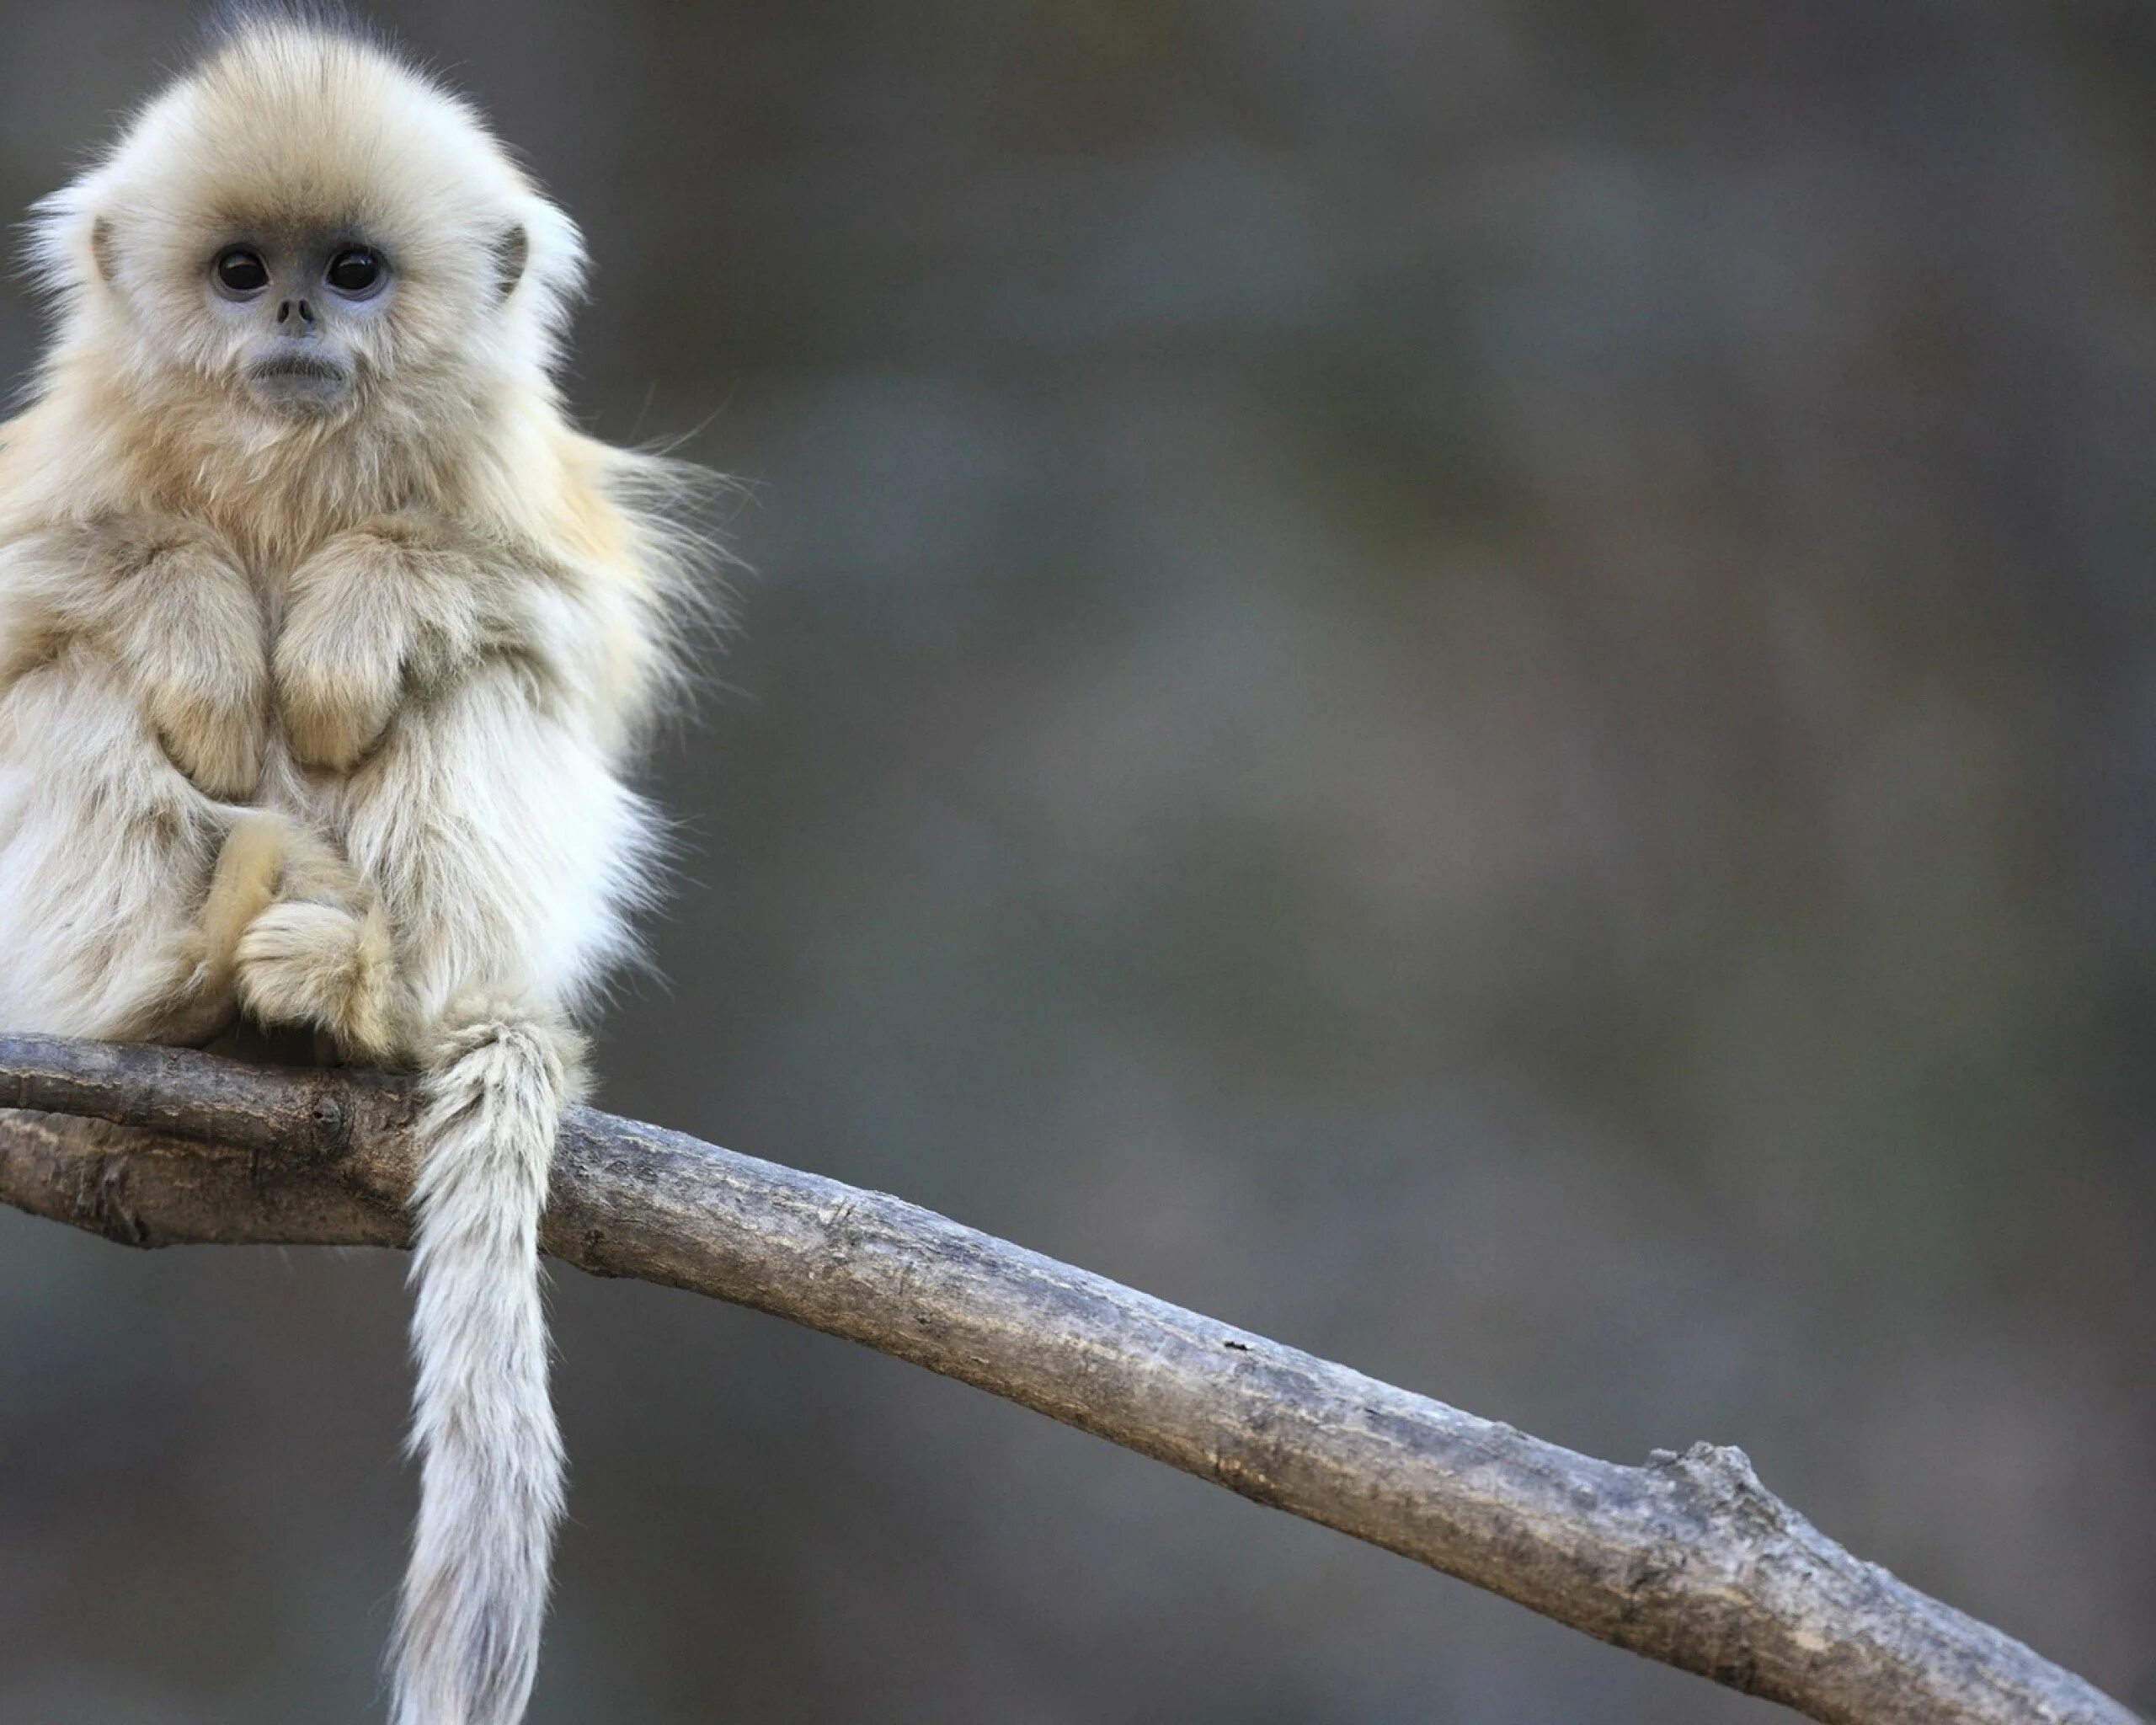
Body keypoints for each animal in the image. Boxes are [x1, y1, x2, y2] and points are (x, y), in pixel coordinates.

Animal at [0, 13, 711, 1725]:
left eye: (358, 269)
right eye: (240, 270)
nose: (300, 315)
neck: (285, 454)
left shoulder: (520, 491)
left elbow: (564, 633)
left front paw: (339, 632)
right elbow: (63, 584)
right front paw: (201, 630)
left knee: (483, 679)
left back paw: (362, 994)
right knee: (70, 676)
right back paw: (173, 990)